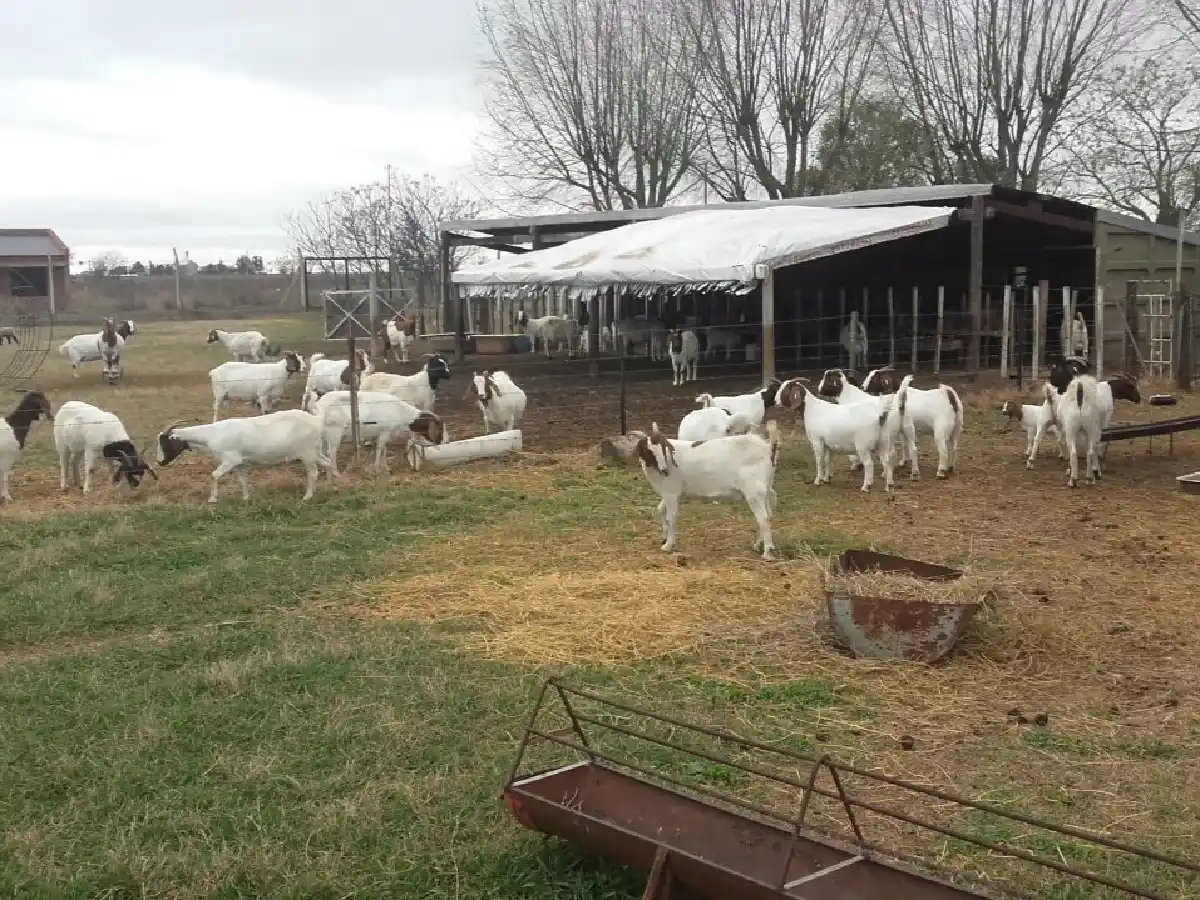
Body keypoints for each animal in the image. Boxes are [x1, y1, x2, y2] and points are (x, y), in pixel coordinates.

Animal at [156, 410, 331, 503]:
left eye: (165, 443)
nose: (160, 462)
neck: (211, 435)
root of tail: (317, 420)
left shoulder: (230, 460)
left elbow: (214, 475)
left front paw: (212, 499)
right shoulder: (240, 463)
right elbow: (242, 480)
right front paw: (246, 498)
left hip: (307, 452)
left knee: (313, 473)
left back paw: (307, 496)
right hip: (315, 451)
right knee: (328, 462)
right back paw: (331, 486)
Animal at [312, 390, 447, 479]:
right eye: (440, 428)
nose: (446, 441)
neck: (402, 413)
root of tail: (319, 405)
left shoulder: (384, 434)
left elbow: (384, 451)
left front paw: (386, 467)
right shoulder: (384, 432)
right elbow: (379, 450)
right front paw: (377, 469)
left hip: (323, 436)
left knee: (323, 452)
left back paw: (324, 470)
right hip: (334, 433)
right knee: (331, 452)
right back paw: (335, 473)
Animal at [633, 420, 781, 559]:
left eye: (663, 448)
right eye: (648, 450)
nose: (665, 471)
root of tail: (768, 448)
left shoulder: (671, 492)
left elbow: (671, 517)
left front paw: (668, 545)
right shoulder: (674, 493)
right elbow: (660, 510)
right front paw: (663, 537)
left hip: (754, 492)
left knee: (764, 519)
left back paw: (767, 553)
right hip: (764, 488)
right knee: (769, 513)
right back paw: (759, 546)